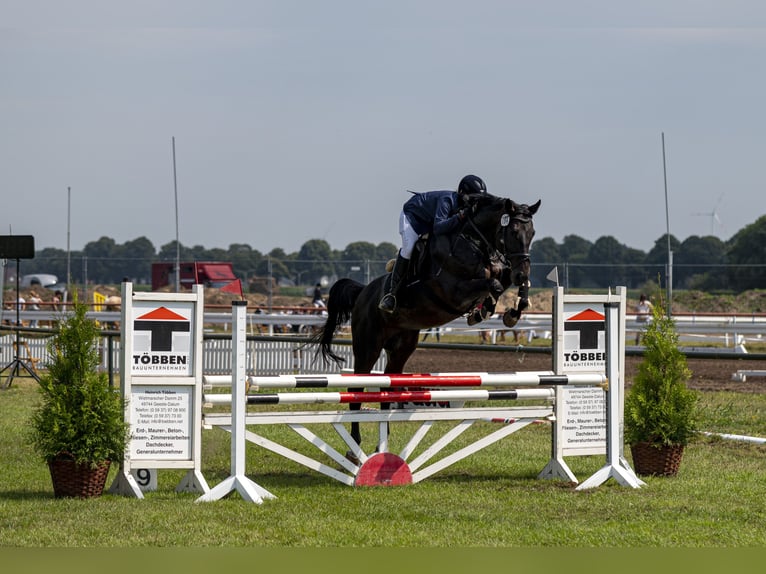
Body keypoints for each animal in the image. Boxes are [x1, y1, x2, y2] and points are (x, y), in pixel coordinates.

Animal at [310, 196, 540, 452]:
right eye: (513, 231)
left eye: (532, 233)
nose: (522, 272)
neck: (475, 243)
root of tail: (362, 292)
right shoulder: (454, 291)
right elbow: (494, 284)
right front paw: (486, 309)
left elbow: (504, 282)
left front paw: (509, 311)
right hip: (367, 347)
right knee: (356, 391)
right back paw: (355, 447)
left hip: (401, 347)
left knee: (387, 387)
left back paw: (382, 446)